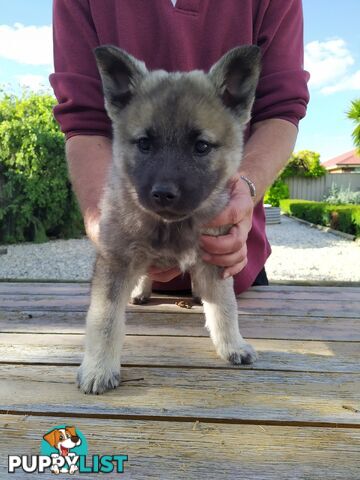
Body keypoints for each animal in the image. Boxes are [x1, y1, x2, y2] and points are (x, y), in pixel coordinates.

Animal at [76, 46, 262, 394]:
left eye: (201, 146)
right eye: (144, 144)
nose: (163, 193)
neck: (169, 226)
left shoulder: (216, 258)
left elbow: (225, 307)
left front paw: (232, 345)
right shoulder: (115, 261)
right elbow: (104, 320)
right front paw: (98, 367)